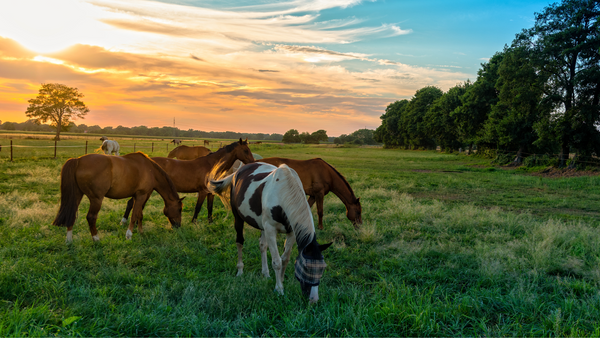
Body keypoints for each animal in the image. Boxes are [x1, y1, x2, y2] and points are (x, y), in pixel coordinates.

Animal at [52, 152, 184, 243]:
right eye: (179, 209)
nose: (178, 226)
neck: (150, 170)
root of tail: (78, 160)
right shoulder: (141, 195)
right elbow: (134, 215)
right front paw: (129, 235)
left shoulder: (137, 196)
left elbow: (139, 214)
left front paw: (141, 232)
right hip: (96, 199)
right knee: (91, 217)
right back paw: (96, 239)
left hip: (77, 195)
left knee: (71, 214)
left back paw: (69, 240)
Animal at [120, 139, 254, 226]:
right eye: (245, 150)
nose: (253, 162)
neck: (211, 166)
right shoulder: (202, 192)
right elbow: (198, 208)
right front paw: (193, 222)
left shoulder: (210, 193)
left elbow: (209, 208)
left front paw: (210, 222)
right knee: (132, 203)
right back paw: (125, 221)